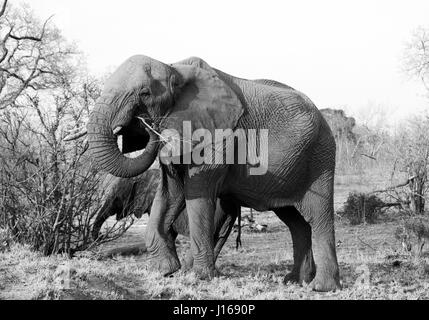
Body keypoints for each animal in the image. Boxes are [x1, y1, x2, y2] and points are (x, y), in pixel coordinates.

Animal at [86, 55, 342, 292]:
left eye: (145, 93)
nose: (148, 126)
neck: (175, 69)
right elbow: (169, 195)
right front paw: (165, 271)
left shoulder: (216, 138)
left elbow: (197, 196)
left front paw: (201, 277)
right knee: (294, 221)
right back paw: (295, 281)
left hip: (320, 158)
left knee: (318, 217)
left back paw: (322, 287)